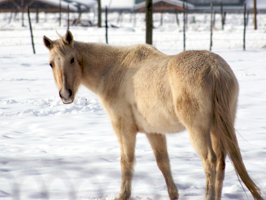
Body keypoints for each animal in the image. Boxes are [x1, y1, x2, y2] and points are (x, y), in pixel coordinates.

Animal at [42, 30, 262, 200]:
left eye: (72, 59)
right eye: (51, 63)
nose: (65, 94)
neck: (115, 70)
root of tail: (215, 70)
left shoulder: (124, 128)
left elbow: (126, 161)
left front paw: (123, 195)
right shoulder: (153, 132)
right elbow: (163, 163)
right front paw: (173, 194)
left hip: (198, 131)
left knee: (210, 161)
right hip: (218, 129)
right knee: (222, 163)